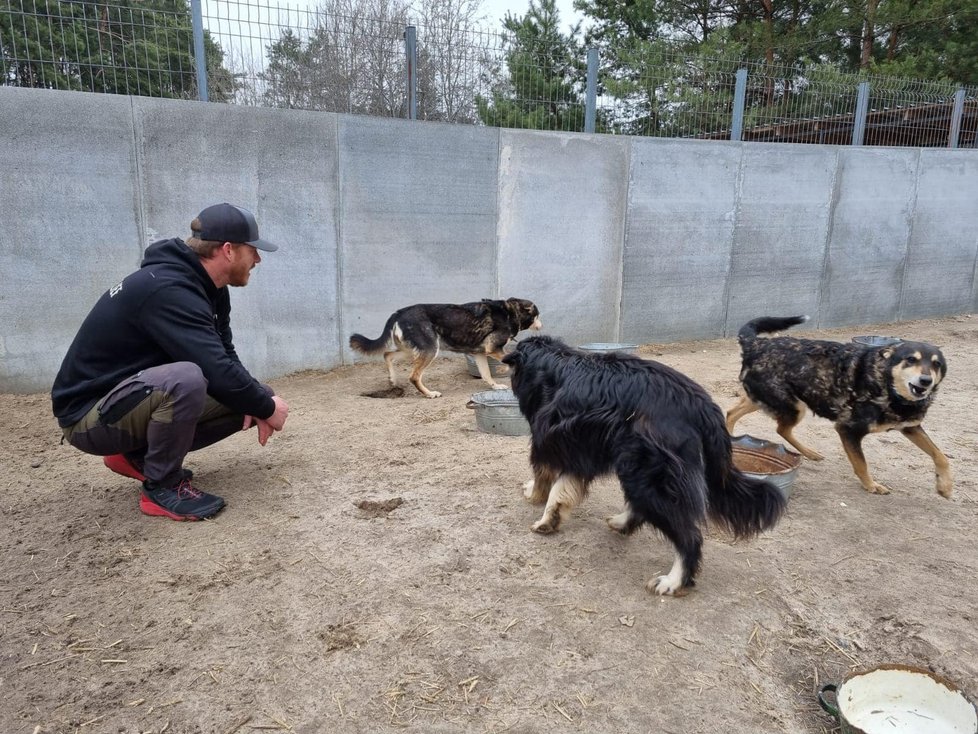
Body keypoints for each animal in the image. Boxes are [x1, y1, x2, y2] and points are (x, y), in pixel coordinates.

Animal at [346, 298, 540, 400]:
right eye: (537, 316)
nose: (541, 325)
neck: (510, 312)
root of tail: (398, 313)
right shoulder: (493, 349)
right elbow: (509, 360)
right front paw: (502, 371)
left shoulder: (479, 354)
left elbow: (486, 374)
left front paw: (496, 386)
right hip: (430, 350)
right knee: (414, 376)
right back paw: (429, 393)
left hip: (412, 349)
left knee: (387, 355)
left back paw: (393, 380)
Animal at [500, 334, 780, 600]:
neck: (550, 362)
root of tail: (703, 407)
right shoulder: (578, 449)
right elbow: (561, 489)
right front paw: (551, 518)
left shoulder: (547, 440)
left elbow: (545, 477)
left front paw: (534, 498)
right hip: (639, 469)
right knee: (643, 507)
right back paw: (622, 523)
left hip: (647, 471)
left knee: (689, 536)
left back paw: (673, 581)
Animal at [724, 316, 944, 500]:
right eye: (911, 359)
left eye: (937, 364)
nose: (925, 381)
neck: (886, 382)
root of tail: (757, 344)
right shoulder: (848, 429)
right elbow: (861, 463)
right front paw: (871, 485)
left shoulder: (911, 427)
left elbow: (939, 455)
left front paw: (945, 486)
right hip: (792, 406)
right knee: (781, 428)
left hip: (767, 399)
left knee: (734, 413)